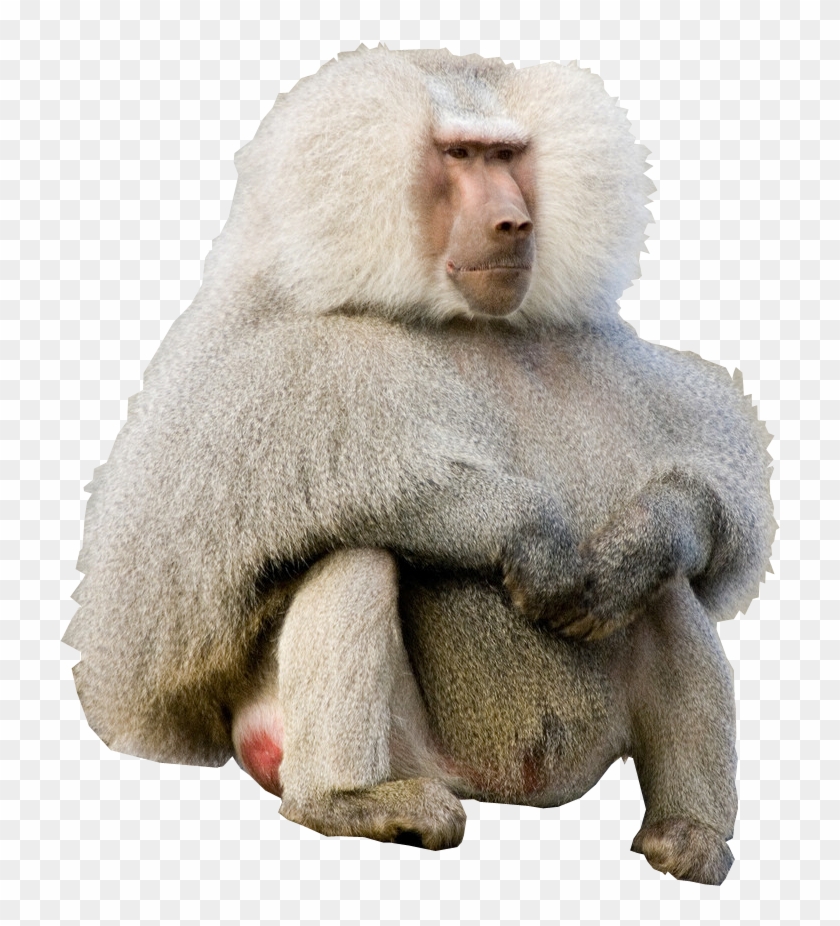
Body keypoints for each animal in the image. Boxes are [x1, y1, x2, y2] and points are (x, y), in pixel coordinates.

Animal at [63, 47, 776, 884]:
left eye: (508, 155)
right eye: (459, 155)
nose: (514, 222)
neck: (467, 324)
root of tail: (502, 787)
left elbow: (713, 494)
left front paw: (638, 542)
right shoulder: (271, 366)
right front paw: (533, 537)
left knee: (666, 593)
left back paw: (689, 837)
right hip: (384, 749)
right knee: (356, 552)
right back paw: (353, 803)